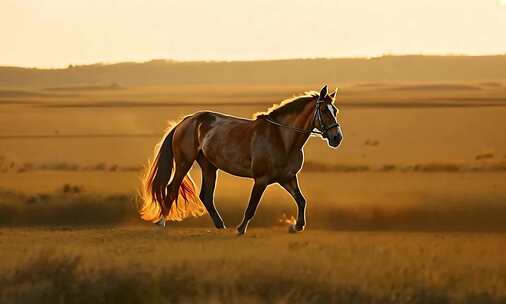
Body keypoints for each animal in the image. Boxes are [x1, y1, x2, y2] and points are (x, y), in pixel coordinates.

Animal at [138, 84, 344, 234]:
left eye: (335, 110)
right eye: (324, 110)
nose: (337, 138)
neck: (283, 139)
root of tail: (186, 121)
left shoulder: (287, 178)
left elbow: (301, 200)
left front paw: (297, 226)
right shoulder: (261, 180)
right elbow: (251, 206)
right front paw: (240, 229)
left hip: (209, 166)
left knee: (206, 195)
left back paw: (220, 225)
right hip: (184, 163)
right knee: (172, 189)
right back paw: (161, 223)